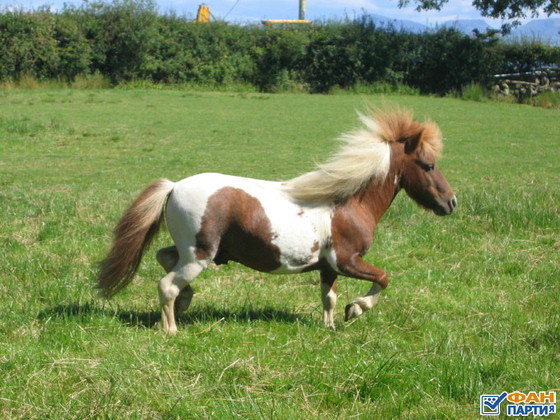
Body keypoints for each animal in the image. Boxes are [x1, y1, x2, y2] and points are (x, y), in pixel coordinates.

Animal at [96, 108, 456, 334]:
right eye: (428, 165)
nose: (450, 203)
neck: (347, 204)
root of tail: (173, 186)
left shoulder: (328, 267)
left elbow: (328, 297)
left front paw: (330, 325)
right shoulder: (347, 260)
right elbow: (382, 278)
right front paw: (355, 309)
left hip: (192, 252)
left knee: (164, 258)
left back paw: (186, 302)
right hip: (199, 256)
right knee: (167, 285)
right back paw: (170, 328)